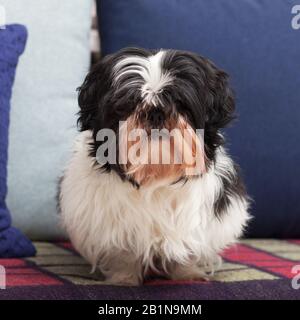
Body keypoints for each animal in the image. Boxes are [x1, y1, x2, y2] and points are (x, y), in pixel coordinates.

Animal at [58, 47, 251, 284]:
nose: (155, 112)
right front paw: (124, 279)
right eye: (128, 105)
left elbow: (185, 252)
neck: (154, 175)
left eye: (180, 103)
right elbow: (124, 255)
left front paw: (188, 274)